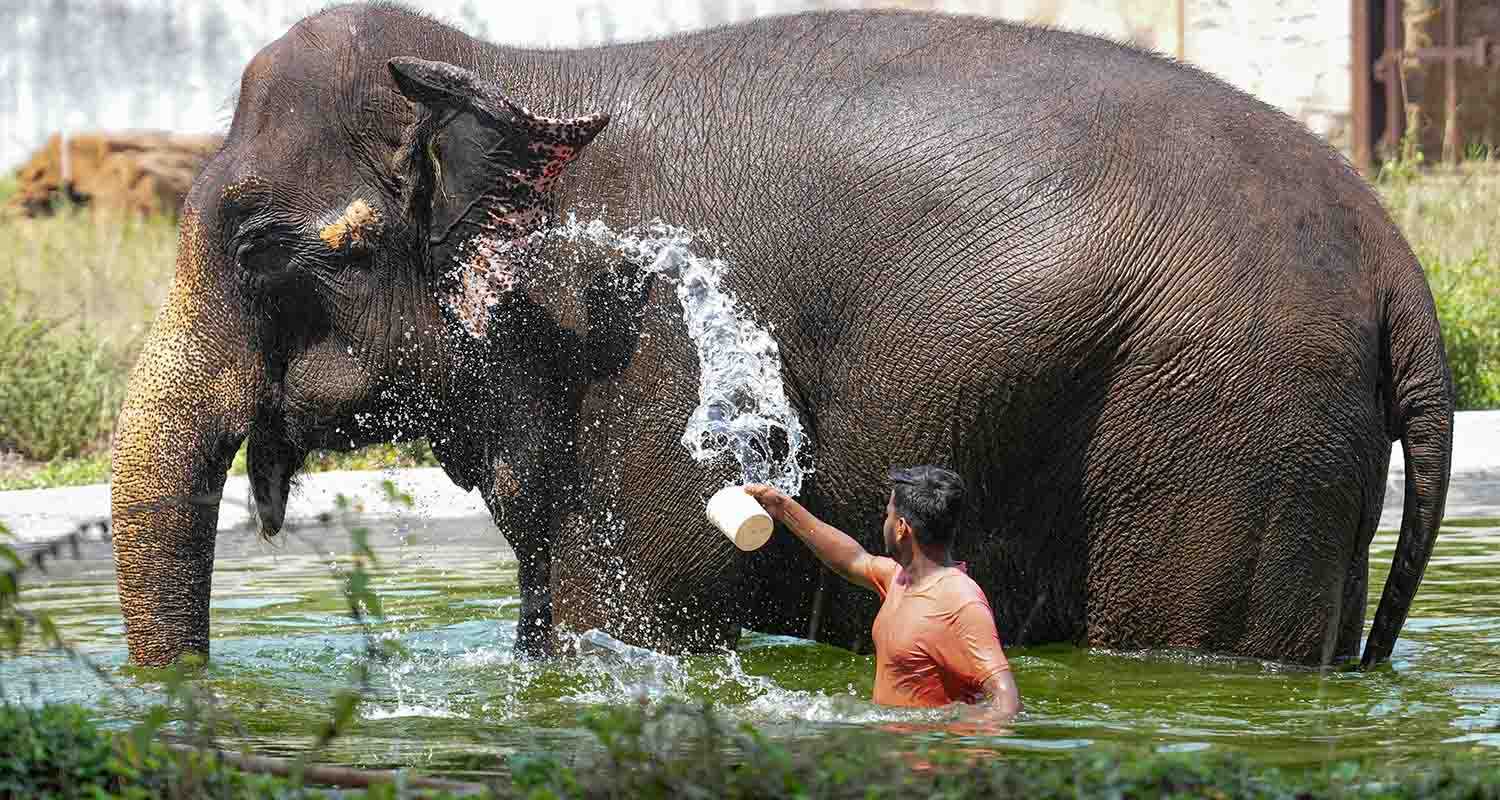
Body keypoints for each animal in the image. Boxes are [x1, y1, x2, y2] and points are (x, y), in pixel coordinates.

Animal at [114, 3, 1452, 669]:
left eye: (254, 247)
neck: (511, 63)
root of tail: (1403, 274)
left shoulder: (639, 357)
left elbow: (621, 614)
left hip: (1227, 424)